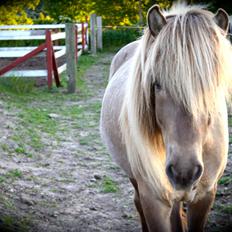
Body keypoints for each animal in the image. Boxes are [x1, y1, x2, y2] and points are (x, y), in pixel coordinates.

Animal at [99, 3, 232, 232]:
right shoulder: (154, 201)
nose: (184, 171)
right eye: (157, 84)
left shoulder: (205, 197)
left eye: (214, 84)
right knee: (137, 202)